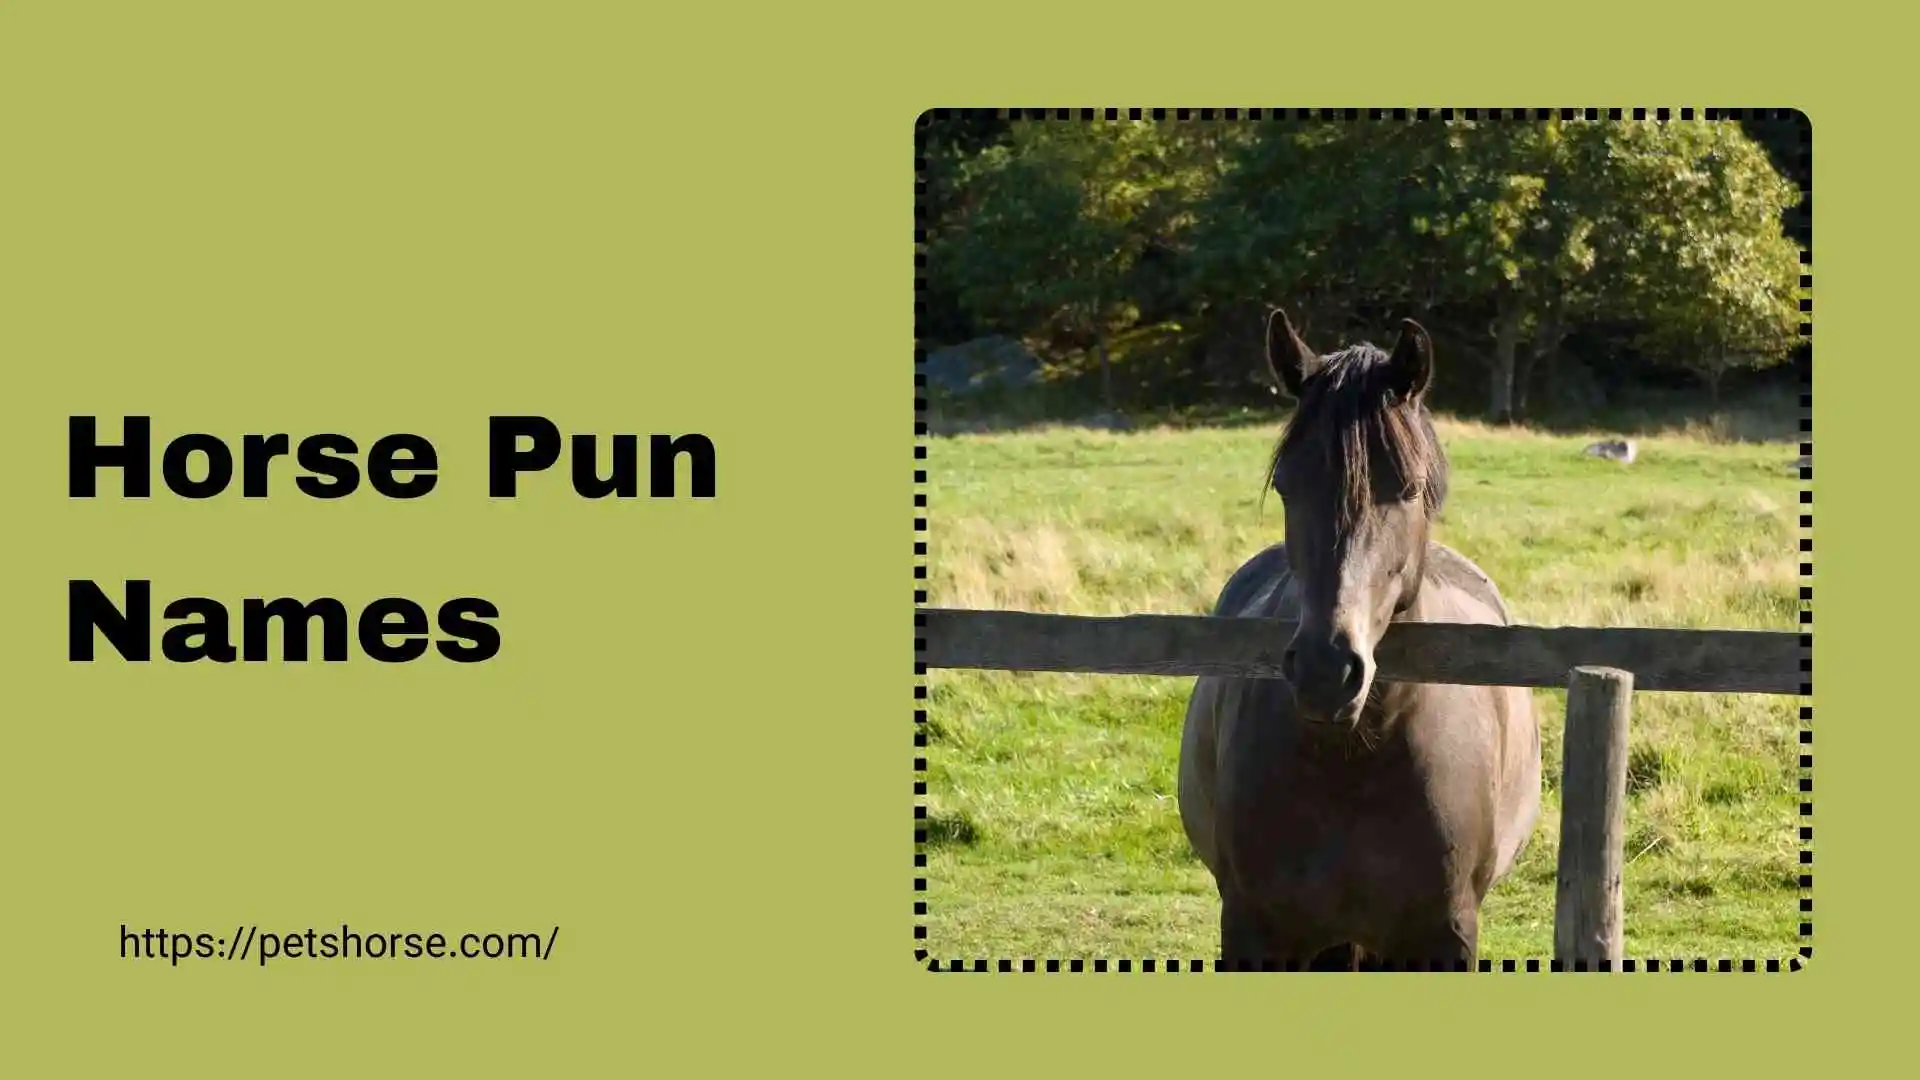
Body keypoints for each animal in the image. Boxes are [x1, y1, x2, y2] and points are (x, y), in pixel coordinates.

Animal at [1176, 308, 1542, 971]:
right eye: (1287, 485)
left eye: (1408, 487)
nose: (1327, 672)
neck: (1356, 759)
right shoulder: (1255, 934)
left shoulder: (1443, 939)